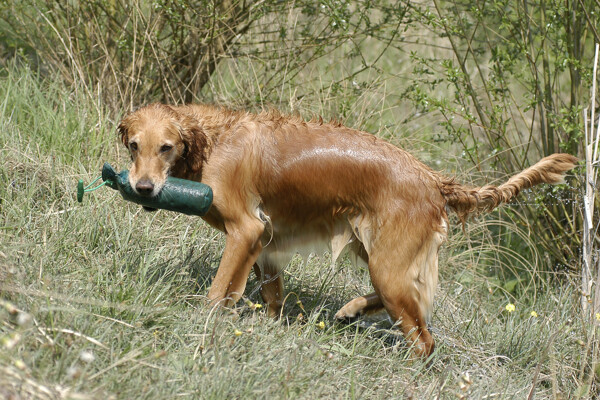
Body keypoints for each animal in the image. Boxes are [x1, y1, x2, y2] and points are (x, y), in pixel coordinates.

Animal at [118, 103, 576, 356]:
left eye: (166, 147)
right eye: (134, 145)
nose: (143, 188)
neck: (212, 141)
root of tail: (432, 180)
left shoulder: (246, 229)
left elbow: (219, 292)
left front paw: (205, 322)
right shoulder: (265, 242)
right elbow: (267, 297)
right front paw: (265, 328)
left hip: (387, 266)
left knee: (423, 339)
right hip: (375, 255)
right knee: (406, 304)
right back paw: (351, 310)